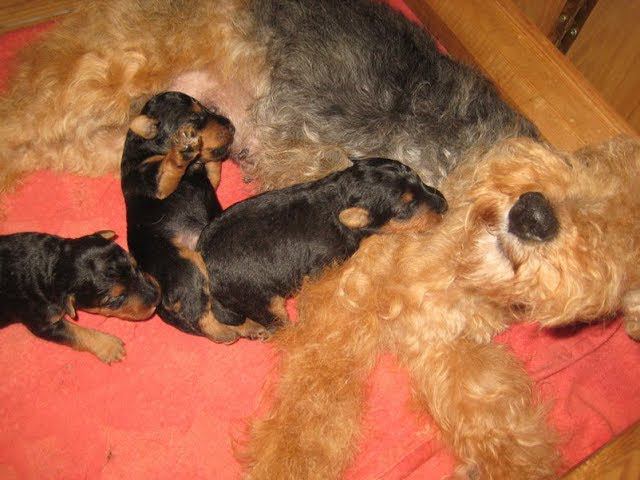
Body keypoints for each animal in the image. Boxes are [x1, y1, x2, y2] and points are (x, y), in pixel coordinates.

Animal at [0, 230, 160, 363]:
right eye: (115, 300)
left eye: (136, 267)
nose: (157, 298)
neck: (53, 265)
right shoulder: (41, 321)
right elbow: (75, 331)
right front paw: (110, 346)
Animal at [122, 91, 267, 343]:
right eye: (195, 118)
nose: (231, 125)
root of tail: (163, 303)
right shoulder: (153, 180)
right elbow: (170, 167)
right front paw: (183, 149)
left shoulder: (210, 177)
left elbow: (214, 167)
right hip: (187, 264)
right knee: (200, 314)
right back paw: (225, 334)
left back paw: (250, 327)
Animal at [197, 157, 447, 331]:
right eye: (406, 209)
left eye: (419, 179)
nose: (444, 205)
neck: (338, 200)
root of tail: (204, 266)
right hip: (260, 298)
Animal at [243, 137, 640, 480]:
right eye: (583, 162)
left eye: (630, 244)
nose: (533, 215)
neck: (462, 268)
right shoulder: (342, 310)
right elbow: (306, 421)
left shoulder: (445, 345)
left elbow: (497, 422)